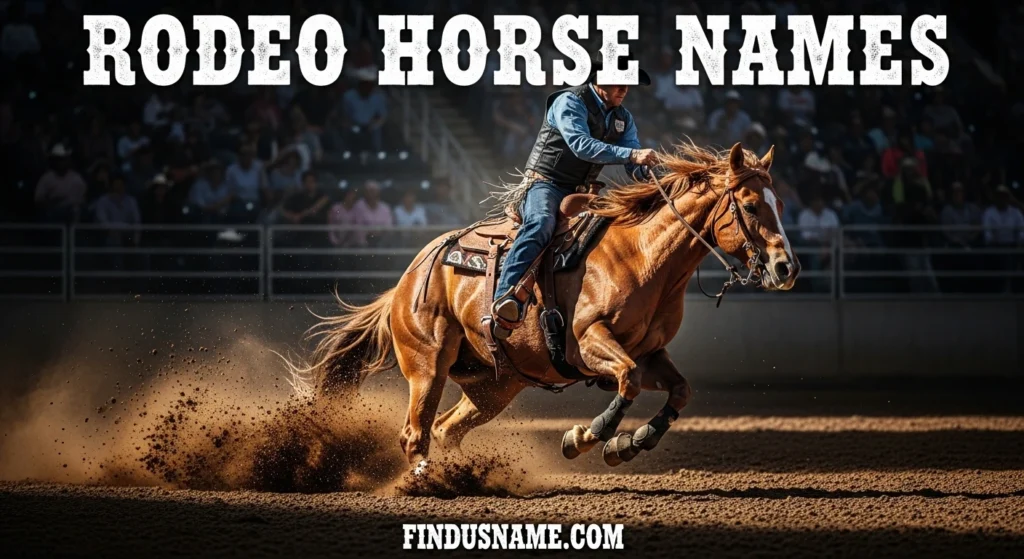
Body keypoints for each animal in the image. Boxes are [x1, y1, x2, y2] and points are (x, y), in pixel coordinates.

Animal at [295, 141, 800, 473]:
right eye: (750, 205)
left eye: (779, 201)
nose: (786, 267)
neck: (641, 254)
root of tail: (407, 279)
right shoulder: (590, 341)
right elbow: (628, 381)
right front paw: (587, 437)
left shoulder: (651, 353)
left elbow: (680, 390)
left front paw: (629, 443)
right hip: (428, 364)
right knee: (415, 433)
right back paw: (427, 482)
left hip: (494, 386)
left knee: (444, 429)